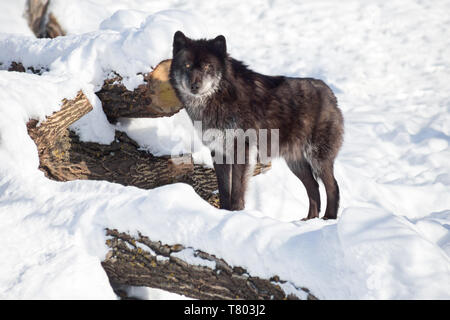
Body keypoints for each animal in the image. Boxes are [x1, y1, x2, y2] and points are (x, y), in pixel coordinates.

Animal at [170, 30, 344, 220]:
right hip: (295, 162)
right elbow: (224, 190)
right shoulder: (218, 151)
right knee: (313, 187)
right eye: (187, 65)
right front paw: (223, 213)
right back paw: (309, 220)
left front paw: (236, 213)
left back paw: (328, 218)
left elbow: (237, 189)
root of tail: (330, 94)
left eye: (208, 66)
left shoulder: (241, 150)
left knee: (333, 186)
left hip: (317, 158)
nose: (194, 86)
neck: (220, 97)